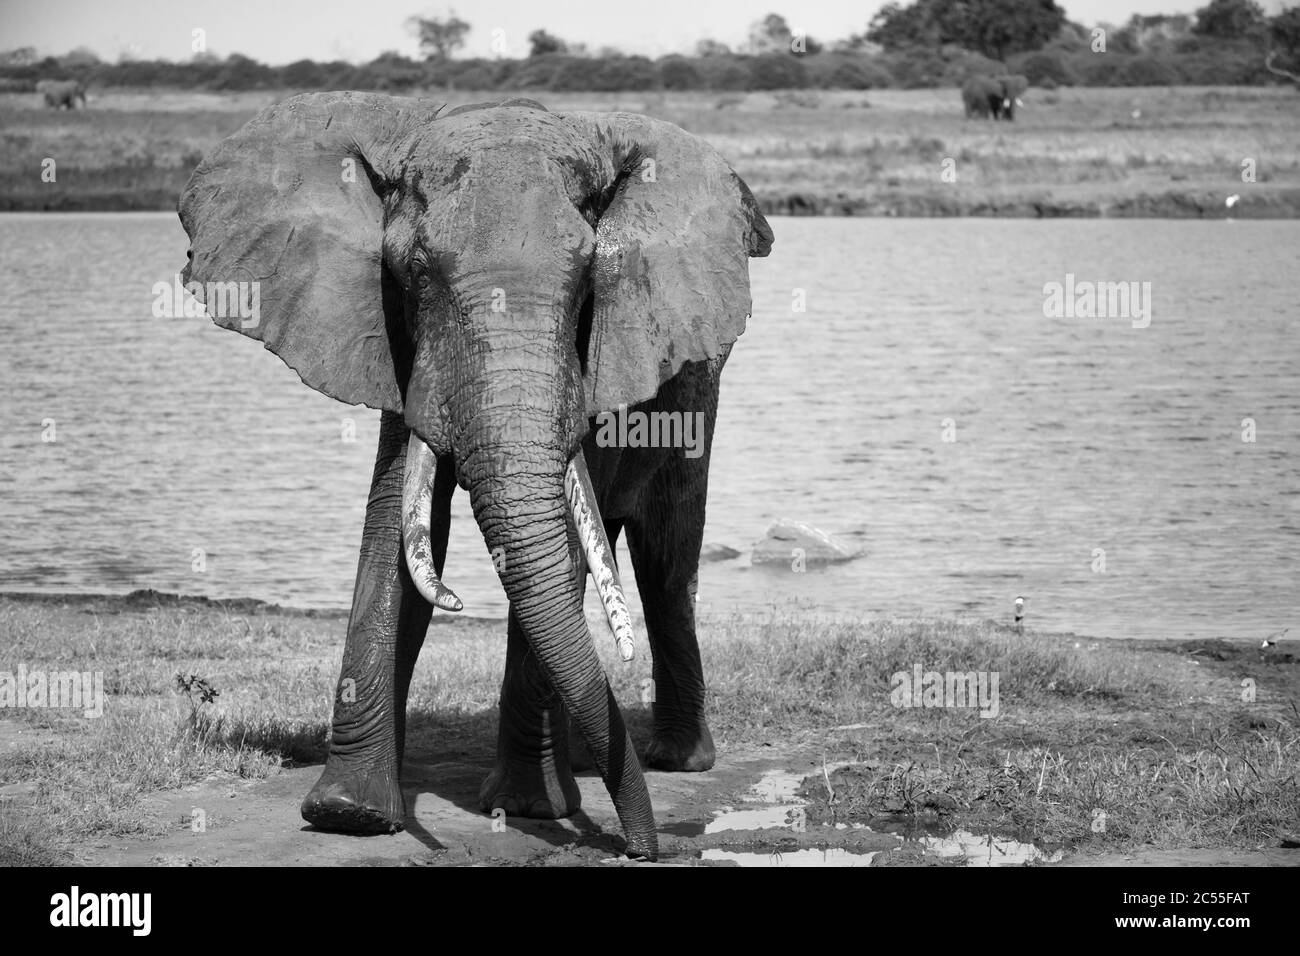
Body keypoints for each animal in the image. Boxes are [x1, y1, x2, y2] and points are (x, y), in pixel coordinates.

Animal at [182, 93, 769, 863]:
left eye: (590, 275)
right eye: (414, 270)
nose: (641, 848)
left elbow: (561, 539)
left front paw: (529, 808)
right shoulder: (400, 344)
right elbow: (396, 526)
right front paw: (349, 814)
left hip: (698, 391)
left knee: (667, 558)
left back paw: (677, 759)